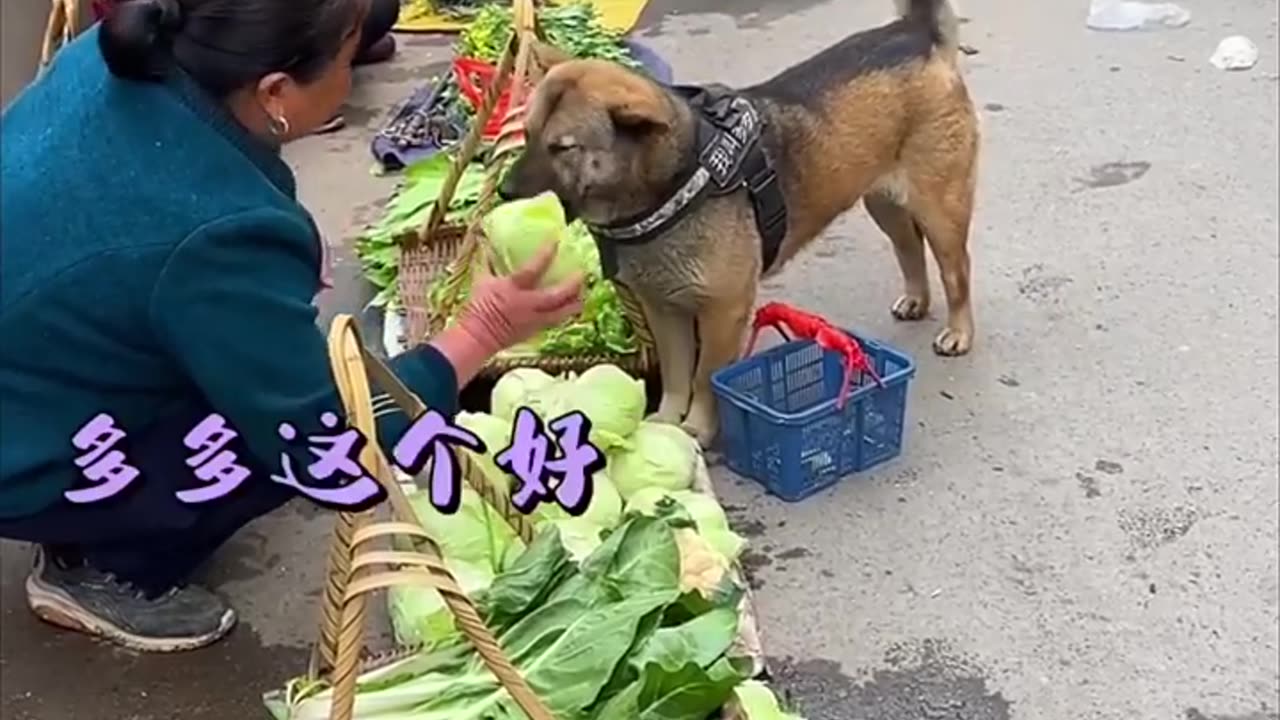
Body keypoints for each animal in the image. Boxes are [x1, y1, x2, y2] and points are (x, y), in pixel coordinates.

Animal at [499, 0, 977, 445]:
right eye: (528, 133)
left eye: (564, 148)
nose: (504, 191)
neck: (677, 183)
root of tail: (915, 34)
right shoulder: (664, 310)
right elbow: (677, 375)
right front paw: (668, 422)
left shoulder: (723, 312)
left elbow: (703, 377)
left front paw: (697, 427)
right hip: (883, 203)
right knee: (908, 247)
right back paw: (916, 299)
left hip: (941, 209)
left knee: (956, 272)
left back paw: (959, 332)